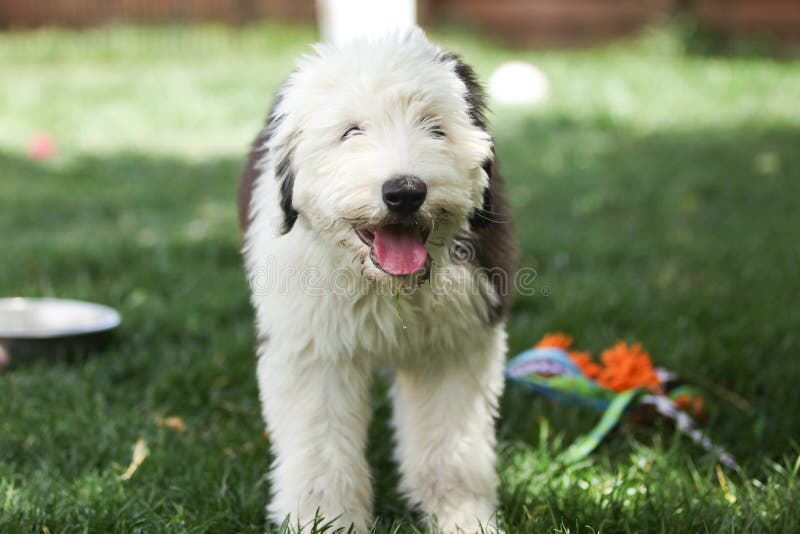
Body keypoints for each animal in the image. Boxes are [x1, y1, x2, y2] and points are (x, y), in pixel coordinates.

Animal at [236, 29, 520, 534]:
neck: (385, 286)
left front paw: (463, 517)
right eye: (352, 131)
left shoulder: (454, 345)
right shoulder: (315, 352)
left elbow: (450, 447)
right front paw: (324, 521)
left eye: (434, 127)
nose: (404, 192)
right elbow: (321, 450)